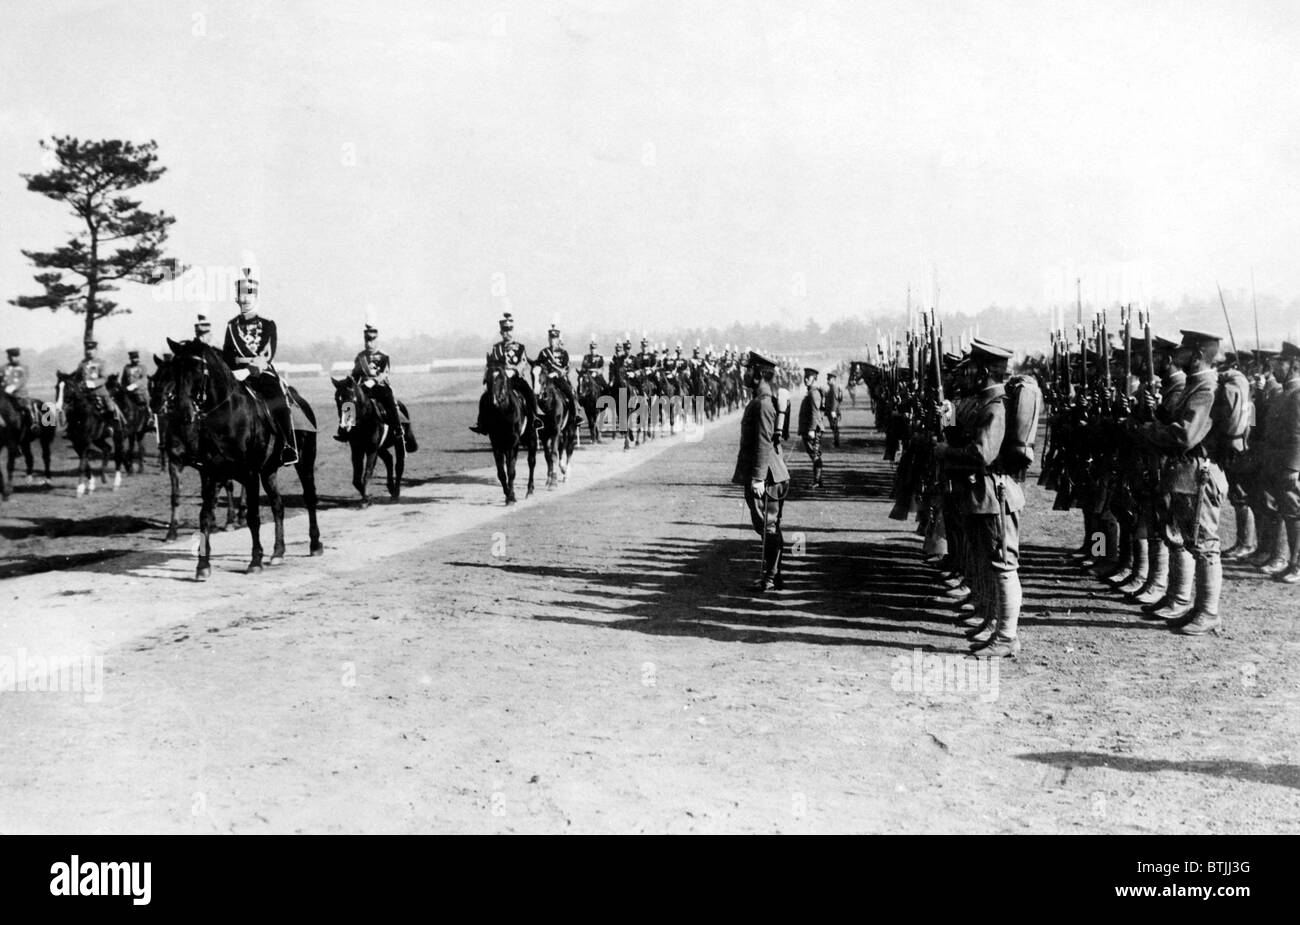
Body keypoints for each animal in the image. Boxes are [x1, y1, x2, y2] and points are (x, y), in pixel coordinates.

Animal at [150, 353, 244, 543]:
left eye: (172, 378)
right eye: (155, 378)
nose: (155, 404)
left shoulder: (207, 466)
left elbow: (209, 494)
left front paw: (213, 524)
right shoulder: (175, 463)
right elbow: (176, 496)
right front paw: (172, 532)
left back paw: (235, 518)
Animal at [165, 340, 322, 582]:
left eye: (198, 369)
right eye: (175, 369)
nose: (182, 413)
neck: (226, 416)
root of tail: (301, 401)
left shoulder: (249, 474)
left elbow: (253, 517)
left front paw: (255, 561)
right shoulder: (210, 474)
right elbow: (205, 516)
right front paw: (202, 565)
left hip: (304, 461)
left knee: (310, 499)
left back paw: (315, 544)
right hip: (268, 471)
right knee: (278, 505)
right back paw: (278, 552)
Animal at [332, 374, 403, 506]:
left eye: (352, 400)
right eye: (337, 400)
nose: (343, 428)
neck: (366, 420)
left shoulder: (371, 450)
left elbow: (367, 473)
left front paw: (366, 499)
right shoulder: (357, 450)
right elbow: (356, 479)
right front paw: (366, 496)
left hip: (398, 443)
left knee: (399, 465)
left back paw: (396, 493)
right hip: (381, 448)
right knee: (389, 460)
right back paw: (391, 488)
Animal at [480, 363, 535, 506]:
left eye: (502, 380)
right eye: (487, 380)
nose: (494, 401)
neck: (502, 414)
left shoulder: (513, 443)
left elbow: (511, 470)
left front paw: (511, 497)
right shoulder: (496, 444)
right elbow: (501, 472)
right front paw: (508, 494)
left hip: (532, 438)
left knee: (531, 462)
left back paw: (530, 490)